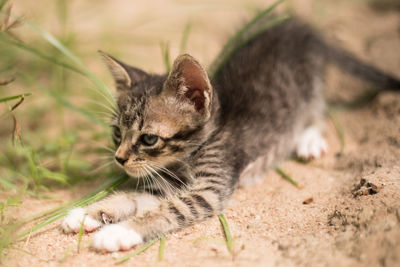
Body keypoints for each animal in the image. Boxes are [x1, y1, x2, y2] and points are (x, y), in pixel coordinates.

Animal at [61, 17, 398, 252]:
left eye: (148, 139)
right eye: (117, 133)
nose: (119, 159)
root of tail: (298, 27)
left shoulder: (210, 188)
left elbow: (169, 209)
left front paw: (118, 232)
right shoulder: (167, 184)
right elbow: (131, 196)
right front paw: (88, 214)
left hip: (310, 85)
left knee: (318, 110)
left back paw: (309, 139)